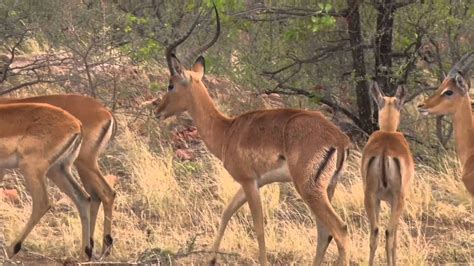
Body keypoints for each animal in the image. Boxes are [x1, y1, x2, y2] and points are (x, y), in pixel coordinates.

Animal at [152, 5, 352, 264]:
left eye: (171, 84)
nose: (157, 110)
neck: (227, 130)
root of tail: (339, 139)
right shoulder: (254, 182)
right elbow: (226, 211)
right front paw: (211, 259)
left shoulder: (248, 182)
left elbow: (258, 227)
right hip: (327, 189)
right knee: (324, 233)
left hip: (309, 190)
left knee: (340, 230)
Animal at [362, 83, 412, 266]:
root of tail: (384, 150)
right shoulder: (395, 200)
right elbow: (395, 236)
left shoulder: (380, 199)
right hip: (398, 199)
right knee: (389, 233)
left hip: (370, 196)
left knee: (375, 232)